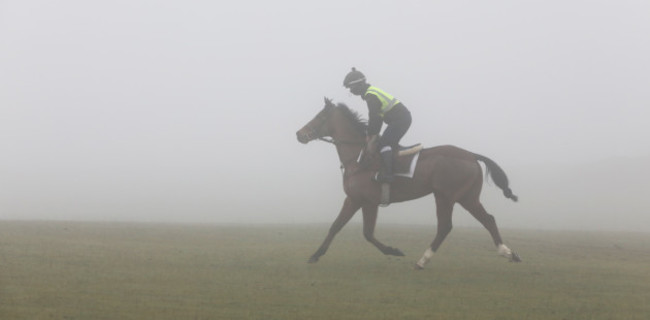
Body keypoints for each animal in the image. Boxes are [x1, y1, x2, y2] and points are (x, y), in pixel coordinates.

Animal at [296, 97, 520, 268]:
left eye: (319, 117)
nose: (299, 134)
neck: (358, 158)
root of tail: (471, 155)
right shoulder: (353, 199)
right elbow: (335, 226)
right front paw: (315, 255)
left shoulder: (369, 202)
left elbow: (367, 233)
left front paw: (394, 250)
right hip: (467, 197)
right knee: (488, 219)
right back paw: (508, 253)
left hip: (446, 196)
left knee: (445, 226)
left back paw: (423, 260)